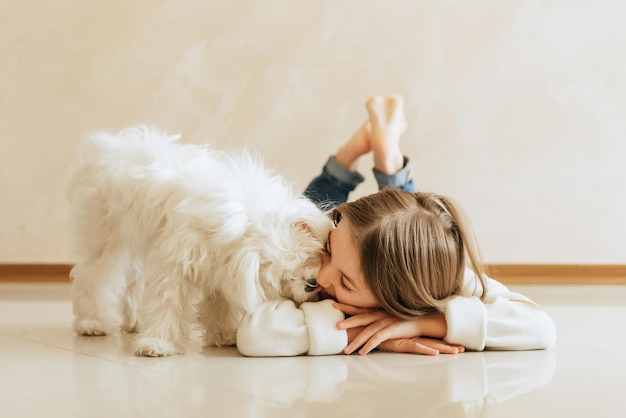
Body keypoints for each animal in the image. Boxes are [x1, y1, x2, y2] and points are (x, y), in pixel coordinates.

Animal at [67, 126, 332, 356]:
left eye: (308, 256)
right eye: (284, 277)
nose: (310, 284)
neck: (248, 218)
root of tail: (106, 145)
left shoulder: (220, 269)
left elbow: (220, 305)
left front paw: (224, 335)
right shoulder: (174, 264)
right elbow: (167, 303)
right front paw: (158, 344)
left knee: (133, 283)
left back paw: (135, 322)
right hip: (103, 238)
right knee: (95, 278)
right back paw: (93, 323)